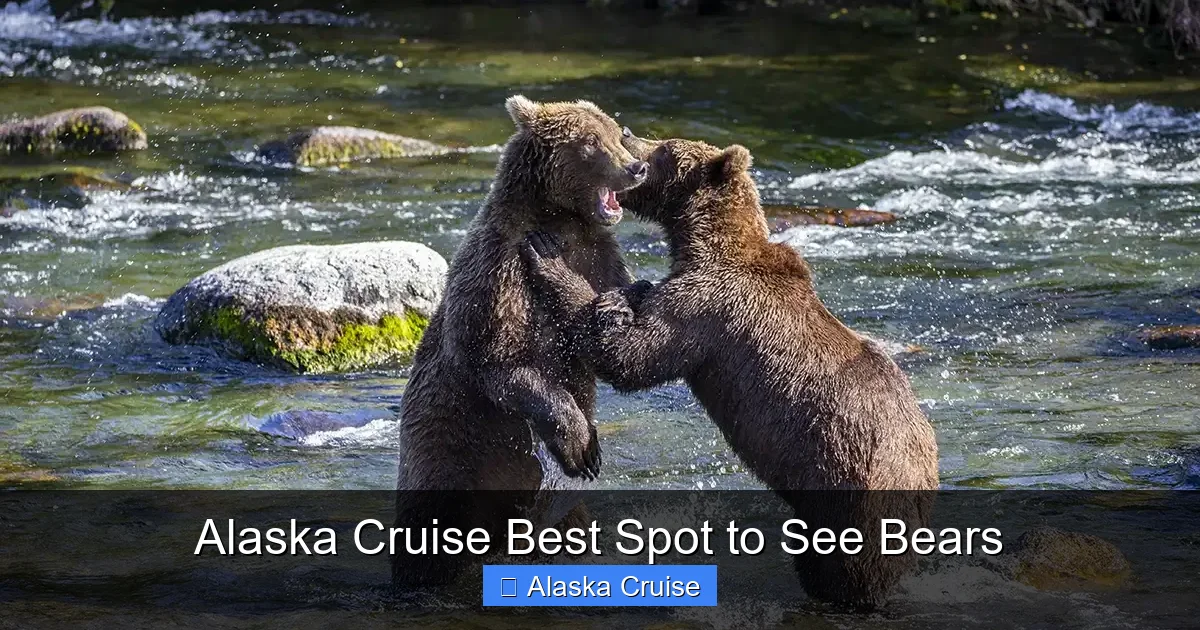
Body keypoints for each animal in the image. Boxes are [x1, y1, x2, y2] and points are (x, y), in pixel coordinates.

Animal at [392, 96, 648, 588]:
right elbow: (499, 359)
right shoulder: (501, 270)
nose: (636, 167)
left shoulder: (598, 258)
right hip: (449, 455)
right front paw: (580, 446)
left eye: (617, 131)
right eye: (591, 142)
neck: (561, 223)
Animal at [519, 133, 939, 607]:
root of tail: (921, 463)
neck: (707, 242)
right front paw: (627, 292)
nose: (628, 135)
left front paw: (550, 256)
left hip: (848, 486)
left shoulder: (706, 307)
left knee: (844, 564)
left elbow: (634, 358)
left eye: (664, 149)